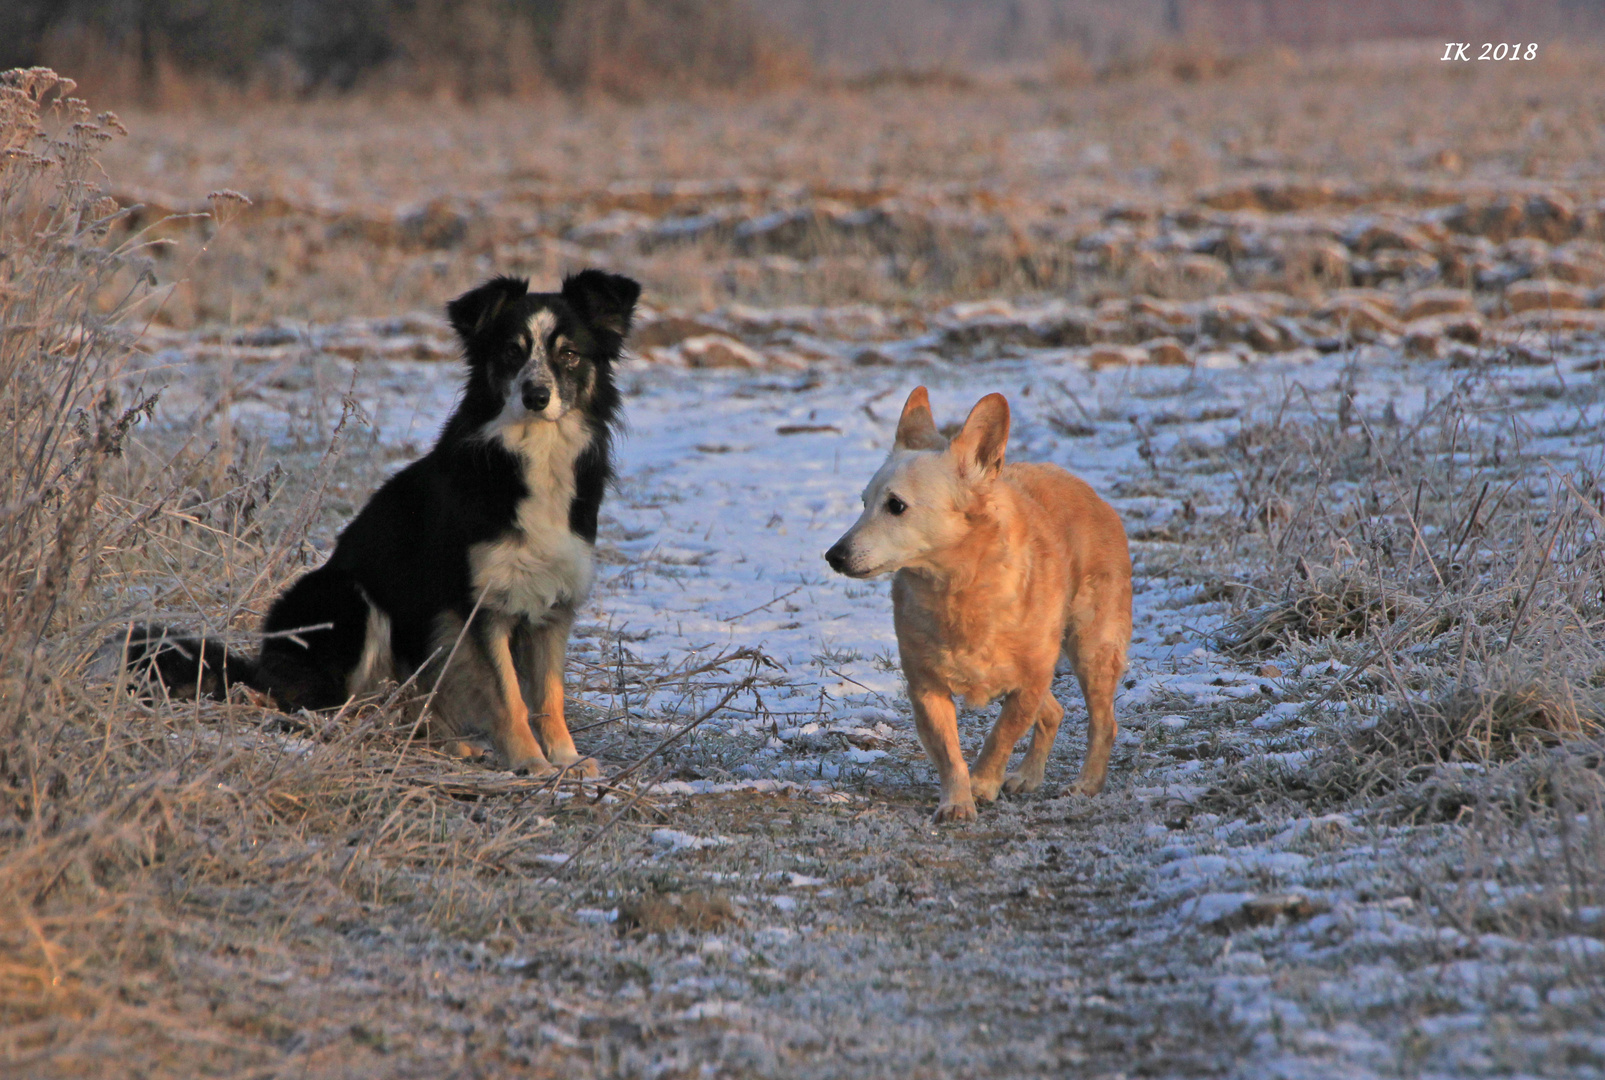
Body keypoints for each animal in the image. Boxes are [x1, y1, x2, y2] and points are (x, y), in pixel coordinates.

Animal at [117, 269, 638, 776]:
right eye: (512, 351)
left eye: (568, 354)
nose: (536, 396)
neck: (530, 455)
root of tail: (262, 663)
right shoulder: (479, 605)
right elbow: (508, 695)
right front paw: (530, 762)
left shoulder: (554, 600)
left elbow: (550, 694)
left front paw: (566, 759)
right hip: (346, 596)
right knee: (306, 699)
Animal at [828, 385, 1129, 818]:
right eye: (863, 502)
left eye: (896, 505)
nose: (833, 555)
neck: (958, 588)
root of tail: (1084, 487)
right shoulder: (926, 688)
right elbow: (948, 752)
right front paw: (958, 800)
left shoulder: (1028, 683)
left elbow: (1001, 734)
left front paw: (983, 783)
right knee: (1054, 713)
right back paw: (1026, 776)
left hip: (1092, 649)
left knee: (1103, 722)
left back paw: (1086, 783)